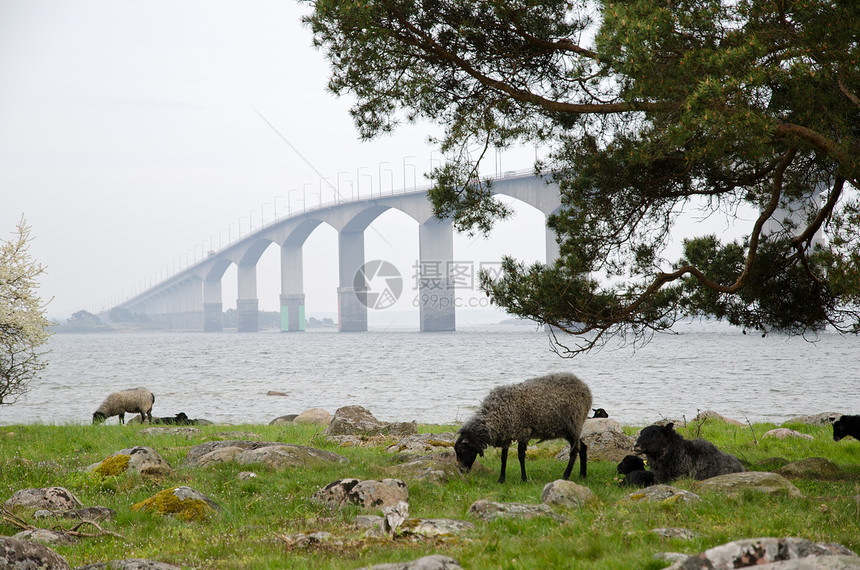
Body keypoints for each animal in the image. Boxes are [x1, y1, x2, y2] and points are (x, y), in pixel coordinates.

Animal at [450, 370, 592, 482]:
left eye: (461, 451)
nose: (461, 470)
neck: (496, 413)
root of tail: (585, 387)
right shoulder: (506, 434)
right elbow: (504, 457)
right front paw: (501, 479)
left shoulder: (523, 432)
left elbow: (520, 456)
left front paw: (523, 478)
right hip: (568, 430)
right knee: (582, 447)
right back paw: (582, 475)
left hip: (575, 424)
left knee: (574, 451)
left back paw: (566, 476)